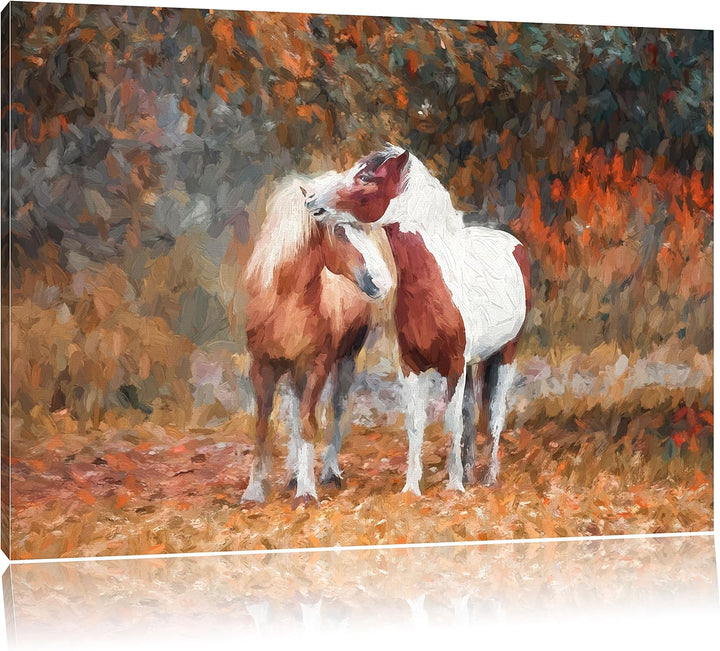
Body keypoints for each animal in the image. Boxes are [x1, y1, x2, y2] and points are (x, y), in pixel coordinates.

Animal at [242, 173, 393, 506]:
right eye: (338, 228)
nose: (382, 283)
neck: (286, 303)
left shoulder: (317, 365)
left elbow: (309, 424)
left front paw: (307, 492)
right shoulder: (262, 366)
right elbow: (263, 425)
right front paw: (254, 491)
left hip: (345, 360)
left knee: (336, 407)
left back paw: (328, 473)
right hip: (292, 370)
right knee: (294, 412)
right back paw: (293, 473)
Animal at [305, 146, 531, 495]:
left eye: (366, 176)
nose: (310, 198)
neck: (434, 281)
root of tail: (511, 243)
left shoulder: (454, 365)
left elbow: (453, 421)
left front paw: (454, 488)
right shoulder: (411, 365)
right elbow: (417, 422)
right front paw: (412, 488)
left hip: (505, 354)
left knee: (495, 414)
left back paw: (489, 478)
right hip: (472, 364)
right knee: (471, 412)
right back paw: (469, 472)